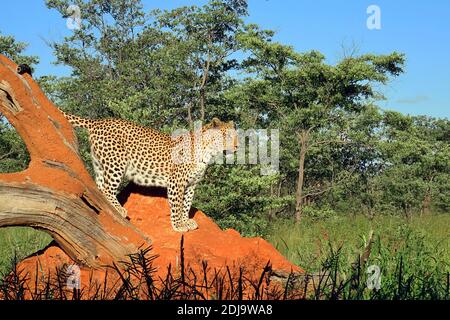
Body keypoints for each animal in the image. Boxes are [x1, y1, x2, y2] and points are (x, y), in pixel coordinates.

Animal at [62, 112, 239, 232]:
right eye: (228, 136)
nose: (237, 147)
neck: (207, 152)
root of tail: (98, 121)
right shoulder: (176, 181)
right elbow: (177, 205)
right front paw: (178, 225)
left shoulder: (191, 184)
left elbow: (186, 204)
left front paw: (186, 221)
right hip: (116, 163)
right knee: (107, 189)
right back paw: (119, 209)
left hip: (100, 164)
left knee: (99, 187)